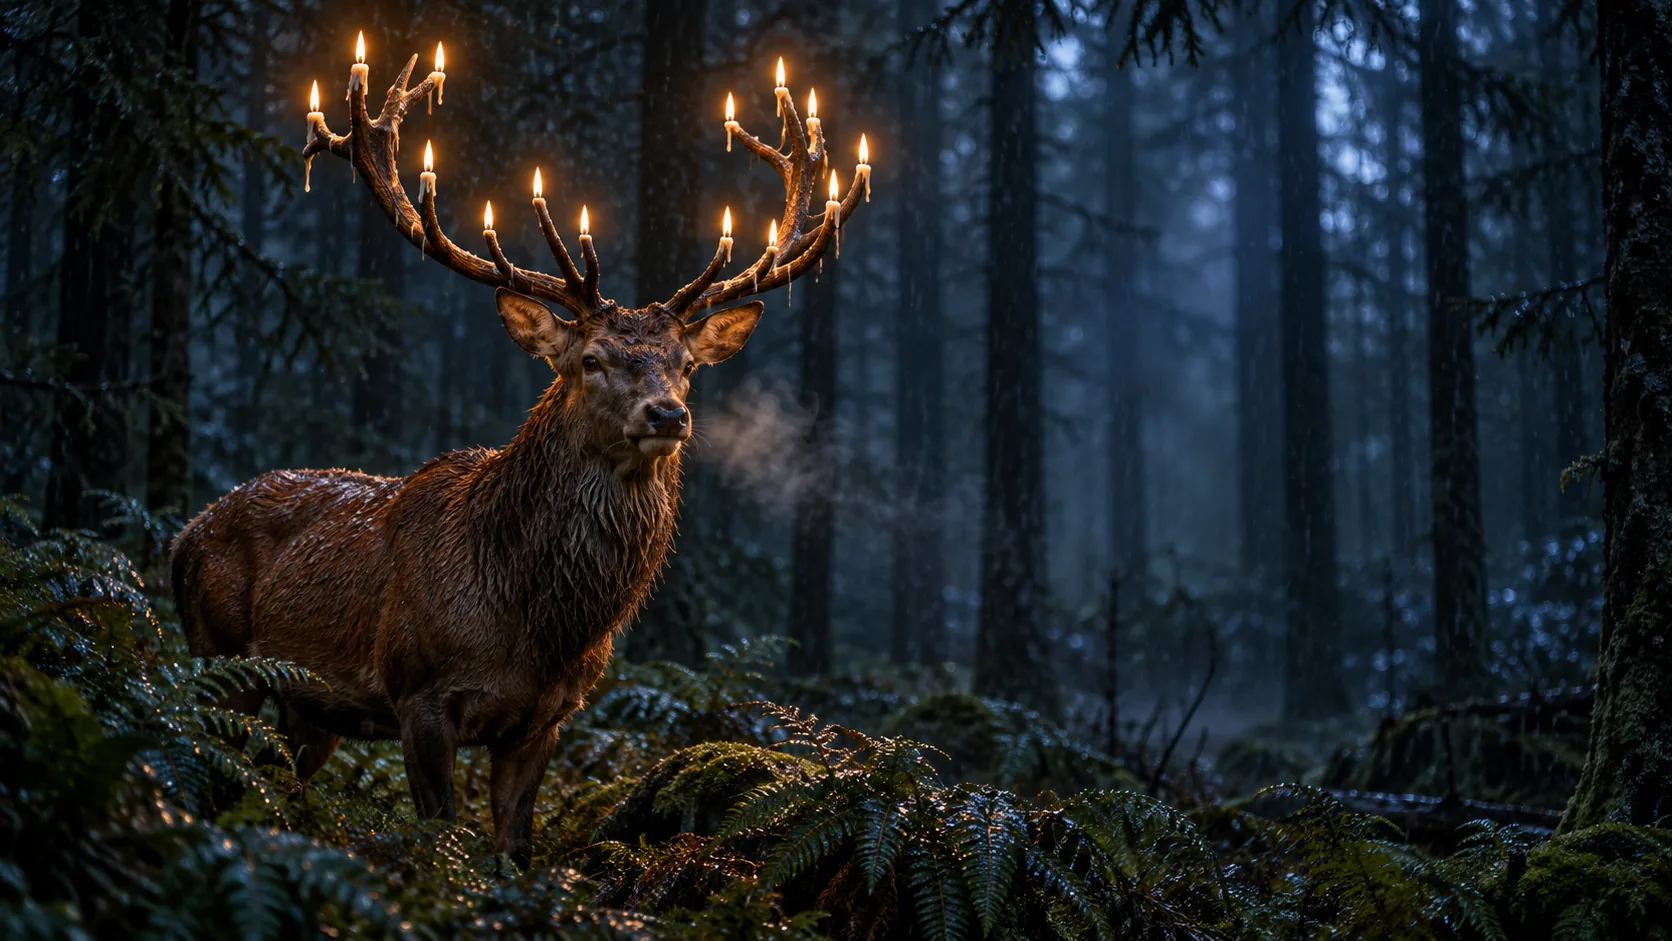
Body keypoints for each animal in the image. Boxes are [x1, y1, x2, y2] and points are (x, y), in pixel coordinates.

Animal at [170, 48, 865, 864]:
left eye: (685, 365)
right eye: (592, 360)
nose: (668, 413)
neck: (532, 623)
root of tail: (182, 534)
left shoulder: (548, 718)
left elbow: (514, 851)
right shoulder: (416, 692)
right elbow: (442, 833)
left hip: (307, 708)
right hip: (218, 657)